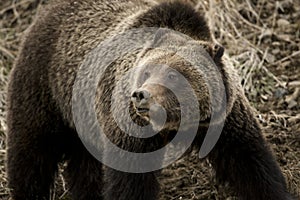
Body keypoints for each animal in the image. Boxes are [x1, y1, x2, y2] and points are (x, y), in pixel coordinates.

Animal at [6, 0, 296, 200]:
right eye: (145, 72)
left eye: (172, 74)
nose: (140, 94)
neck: (178, 124)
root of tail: (46, 11)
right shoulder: (130, 128)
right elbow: (129, 177)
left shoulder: (222, 120)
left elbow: (249, 162)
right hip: (44, 86)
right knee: (32, 152)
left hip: (84, 117)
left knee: (84, 165)